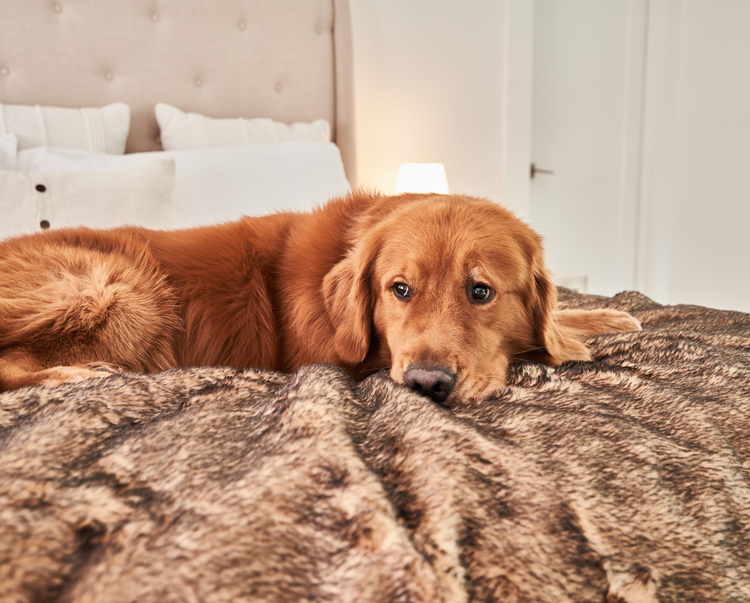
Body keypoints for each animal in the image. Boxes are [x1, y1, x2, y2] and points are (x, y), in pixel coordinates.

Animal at [0, 191, 640, 404]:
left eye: (480, 291)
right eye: (399, 290)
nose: (427, 384)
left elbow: (559, 315)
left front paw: (607, 317)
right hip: (121, 286)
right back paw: (79, 375)